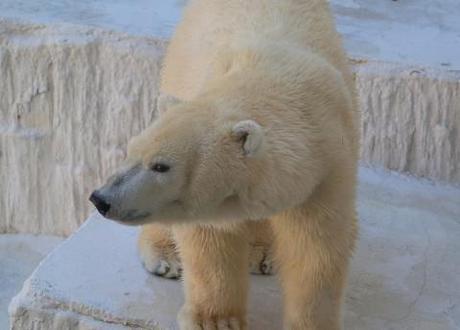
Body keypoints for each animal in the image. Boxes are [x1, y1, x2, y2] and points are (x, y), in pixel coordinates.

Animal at [90, 1, 360, 328]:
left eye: (161, 166)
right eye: (131, 151)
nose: (101, 198)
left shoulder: (329, 166)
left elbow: (317, 248)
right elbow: (211, 238)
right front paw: (215, 320)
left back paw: (262, 253)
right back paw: (165, 256)